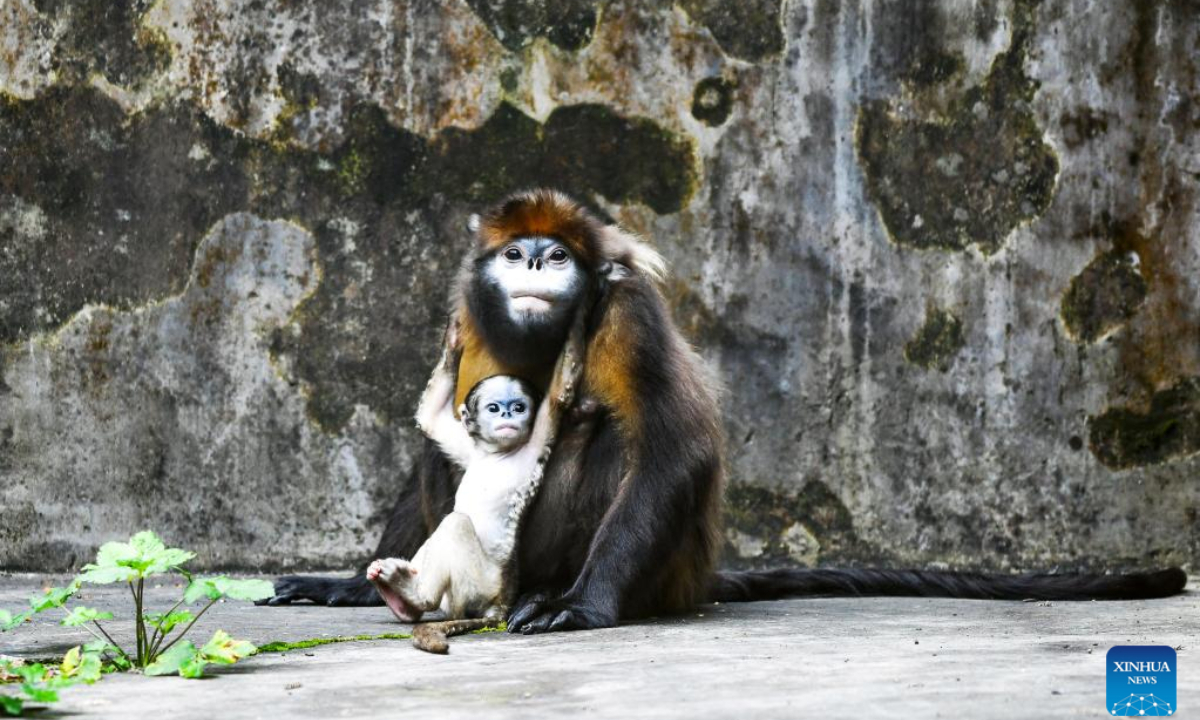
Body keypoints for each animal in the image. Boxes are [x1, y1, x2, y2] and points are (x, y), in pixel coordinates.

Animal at [369, 321, 585, 652]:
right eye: (494, 408)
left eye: (519, 407)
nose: (508, 414)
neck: (497, 454)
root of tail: (500, 604)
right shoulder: (472, 450)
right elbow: (431, 419)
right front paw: (453, 341)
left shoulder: (535, 443)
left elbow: (559, 396)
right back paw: (404, 601)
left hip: (477, 587)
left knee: (455, 524)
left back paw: (418, 597)